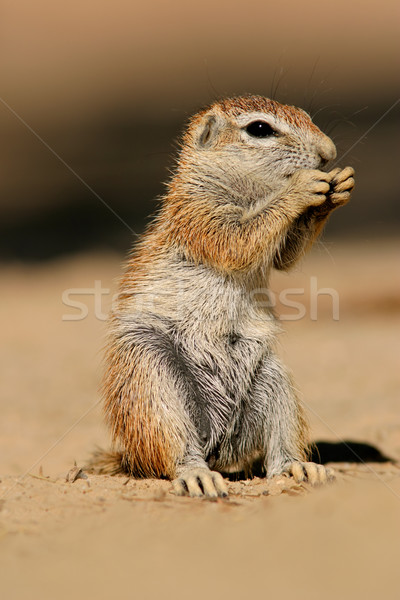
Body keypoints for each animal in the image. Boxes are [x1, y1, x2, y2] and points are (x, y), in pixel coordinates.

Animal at [99, 94, 354, 496]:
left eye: (307, 116)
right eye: (260, 129)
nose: (328, 153)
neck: (250, 193)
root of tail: (218, 446)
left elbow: (284, 258)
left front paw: (335, 191)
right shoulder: (199, 215)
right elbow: (238, 239)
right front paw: (300, 189)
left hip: (272, 378)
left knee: (276, 450)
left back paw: (297, 468)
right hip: (149, 375)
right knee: (175, 449)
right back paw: (197, 475)